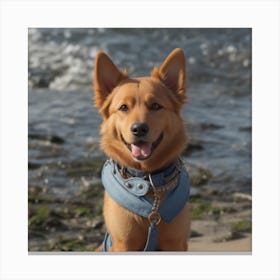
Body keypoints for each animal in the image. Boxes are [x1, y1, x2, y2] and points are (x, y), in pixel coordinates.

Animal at [93, 48, 190, 252]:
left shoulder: (176, 242)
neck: (149, 181)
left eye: (155, 106)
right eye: (123, 107)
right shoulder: (124, 243)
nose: (139, 129)